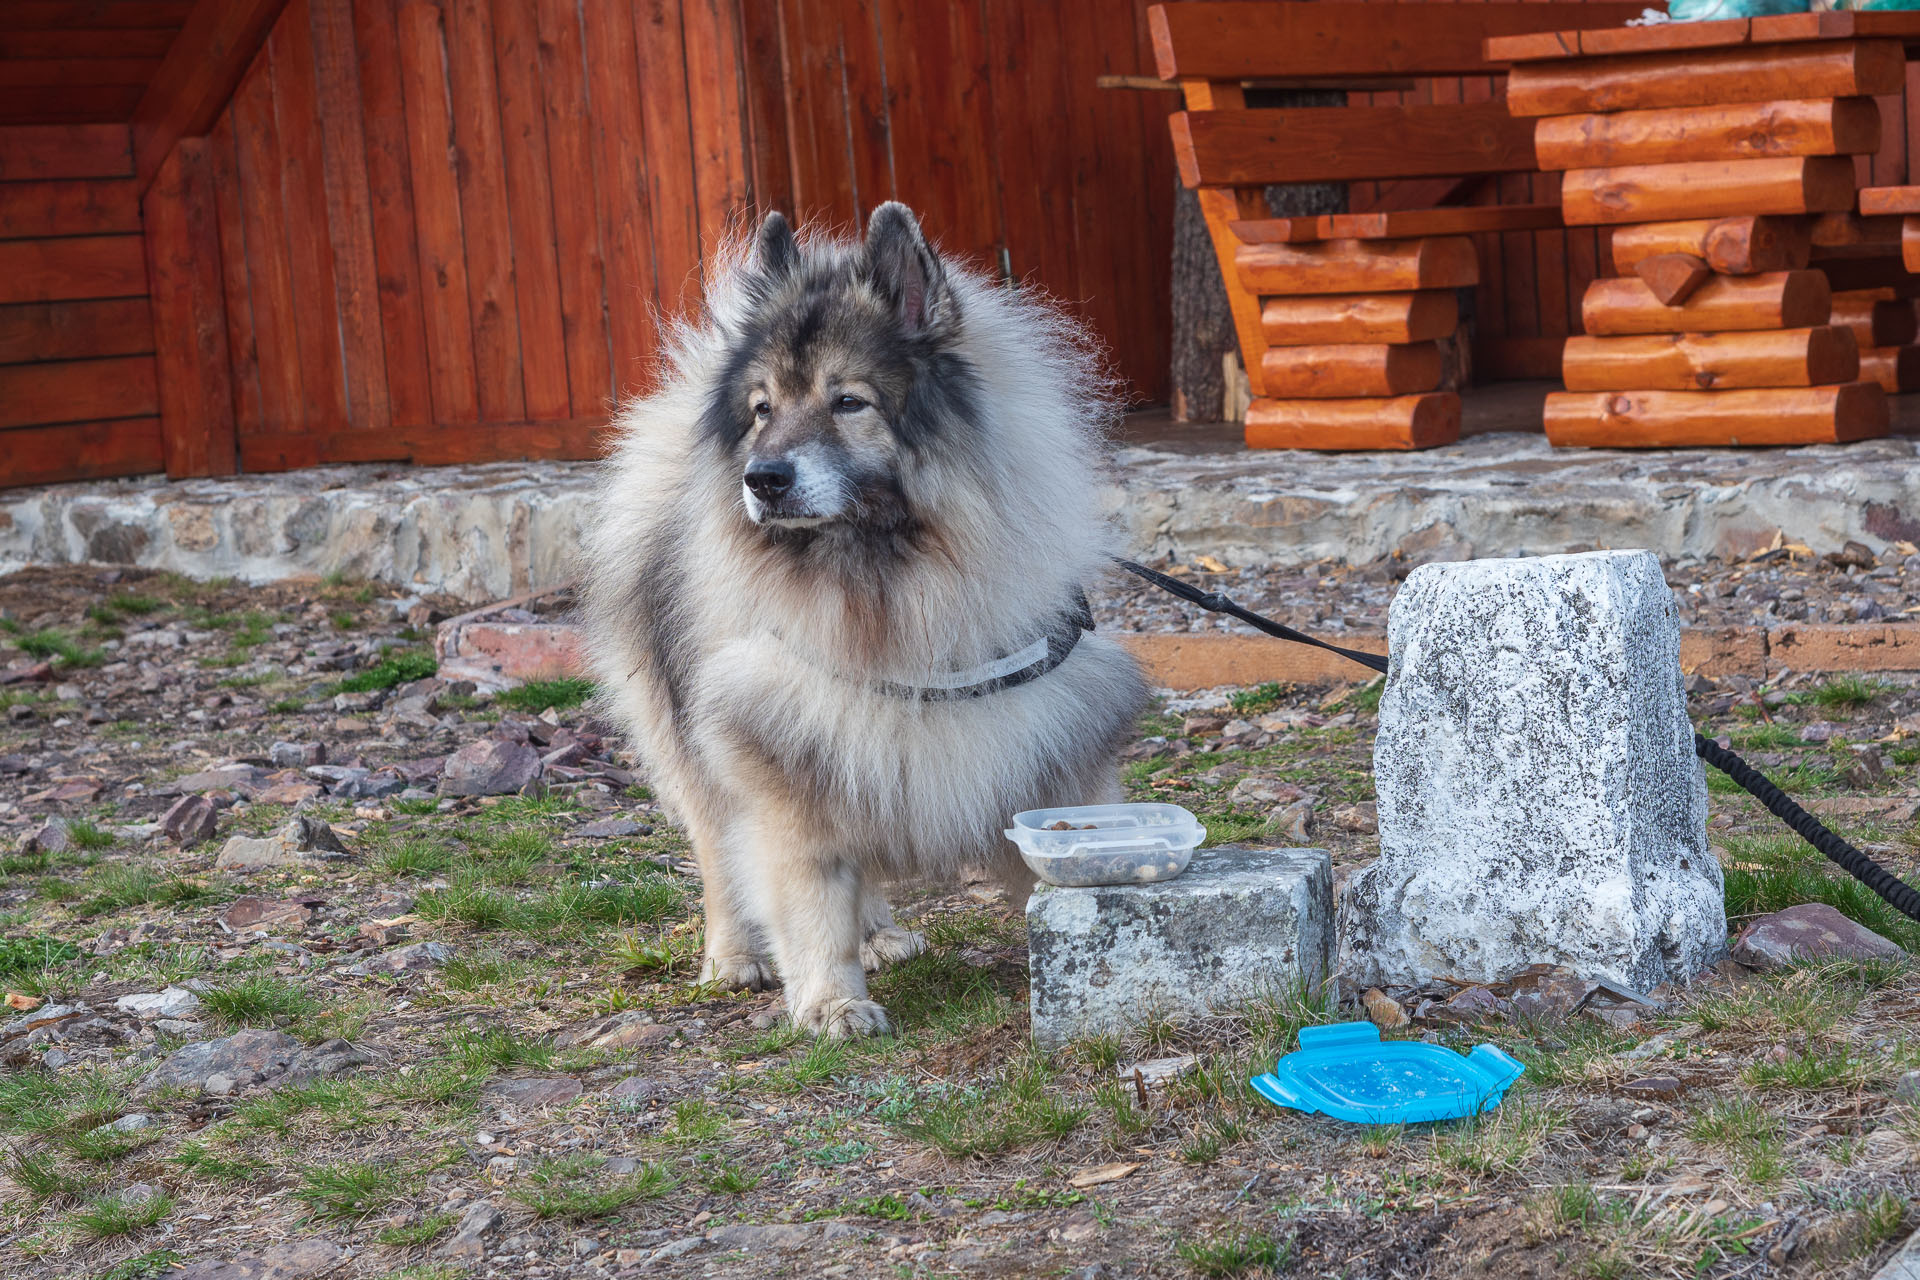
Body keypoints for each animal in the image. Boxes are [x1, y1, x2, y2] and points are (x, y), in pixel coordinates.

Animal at [576, 205, 1144, 1036]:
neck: (883, 579)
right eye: (763, 411)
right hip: (692, 738)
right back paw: (732, 957)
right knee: (717, 850)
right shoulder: (778, 752)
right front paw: (831, 1003)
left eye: (849, 402)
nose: (763, 478)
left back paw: (877, 933)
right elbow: (809, 895)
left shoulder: (1031, 736)